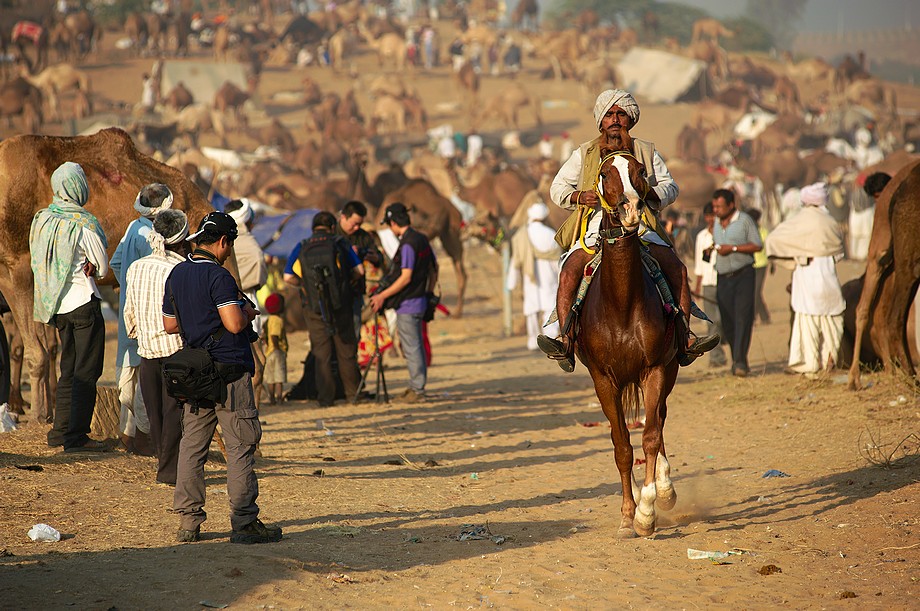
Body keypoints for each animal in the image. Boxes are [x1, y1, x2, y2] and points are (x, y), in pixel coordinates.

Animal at [0, 128, 213, 422]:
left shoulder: (19, 266)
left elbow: (38, 350)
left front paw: (39, 417)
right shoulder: (14, 273)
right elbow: (44, 347)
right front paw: (44, 413)